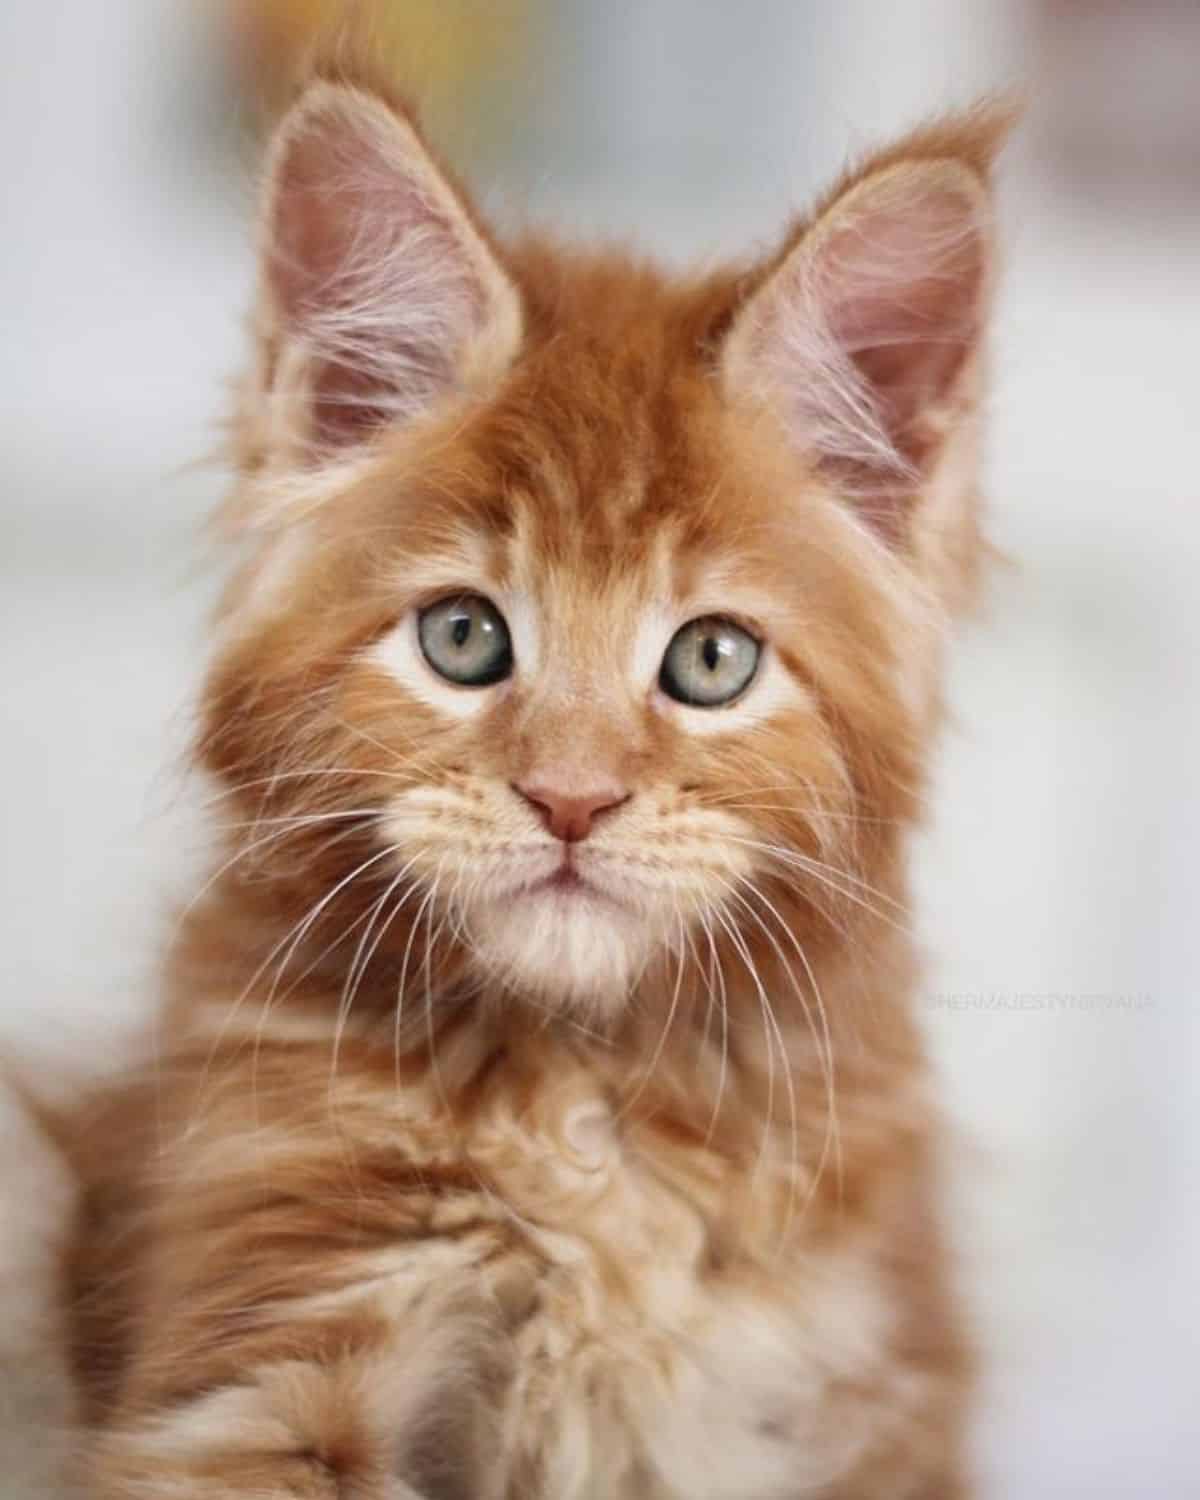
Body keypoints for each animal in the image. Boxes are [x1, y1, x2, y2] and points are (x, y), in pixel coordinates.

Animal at [65, 46, 1002, 1500]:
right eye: (464, 636)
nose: (572, 797)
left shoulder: (860, 1393)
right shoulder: (261, 1350)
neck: (581, 1110)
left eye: (712, 660)